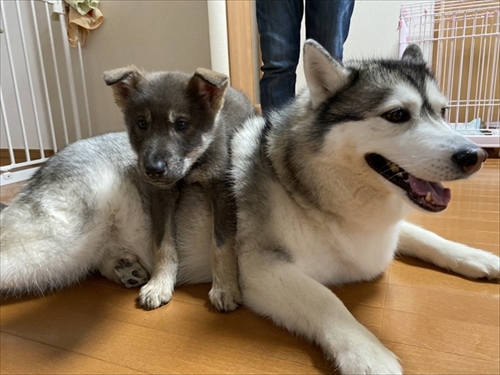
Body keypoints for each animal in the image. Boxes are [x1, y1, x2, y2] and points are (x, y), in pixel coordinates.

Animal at [228, 39, 500, 374]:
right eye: (396, 114)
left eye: (443, 112)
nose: (475, 156)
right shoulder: (261, 269)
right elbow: (326, 300)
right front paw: (369, 355)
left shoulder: (384, 229)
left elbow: (427, 237)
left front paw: (474, 256)